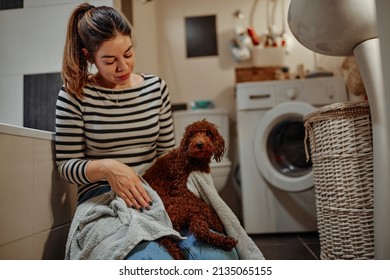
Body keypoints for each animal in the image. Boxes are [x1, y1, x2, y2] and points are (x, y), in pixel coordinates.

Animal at [142, 119, 236, 260]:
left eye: (208, 133)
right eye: (191, 135)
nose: (199, 144)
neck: (194, 161)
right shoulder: (180, 187)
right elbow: (202, 203)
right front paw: (215, 219)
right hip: (183, 207)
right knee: (199, 230)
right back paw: (223, 234)